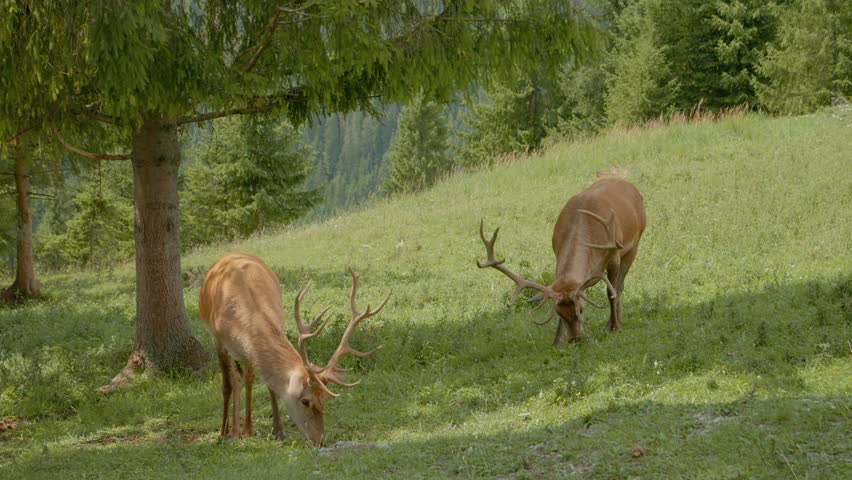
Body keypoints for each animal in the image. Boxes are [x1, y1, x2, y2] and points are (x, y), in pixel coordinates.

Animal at [198, 253, 389, 445]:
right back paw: (227, 429)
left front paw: (277, 431)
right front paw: (233, 433)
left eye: (324, 399)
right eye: (305, 401)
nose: (320, 439)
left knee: (249, 377)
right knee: (233, 381)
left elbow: (266, 382)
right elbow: (229, 384)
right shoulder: (219, 341)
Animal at [478, 177, 645, 345]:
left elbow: (611, 292)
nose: (576, 339)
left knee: (620, 286)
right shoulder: (557, 252)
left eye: (582, 309)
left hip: (634, 244)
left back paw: (614, 322)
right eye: (559, 313)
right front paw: (556, 342)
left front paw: (614, 327)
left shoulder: (613, 255)